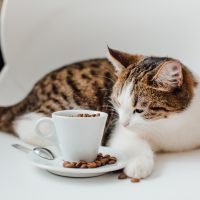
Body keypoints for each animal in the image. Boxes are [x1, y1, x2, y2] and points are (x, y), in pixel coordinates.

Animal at [0, 47, 200, 179]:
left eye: (139, 110)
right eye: (118, 102)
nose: (125, 122)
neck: (171, 125)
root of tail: (29, 94)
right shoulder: (120, 130)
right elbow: (130, 141)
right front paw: (138, 164)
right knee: (24, 125)